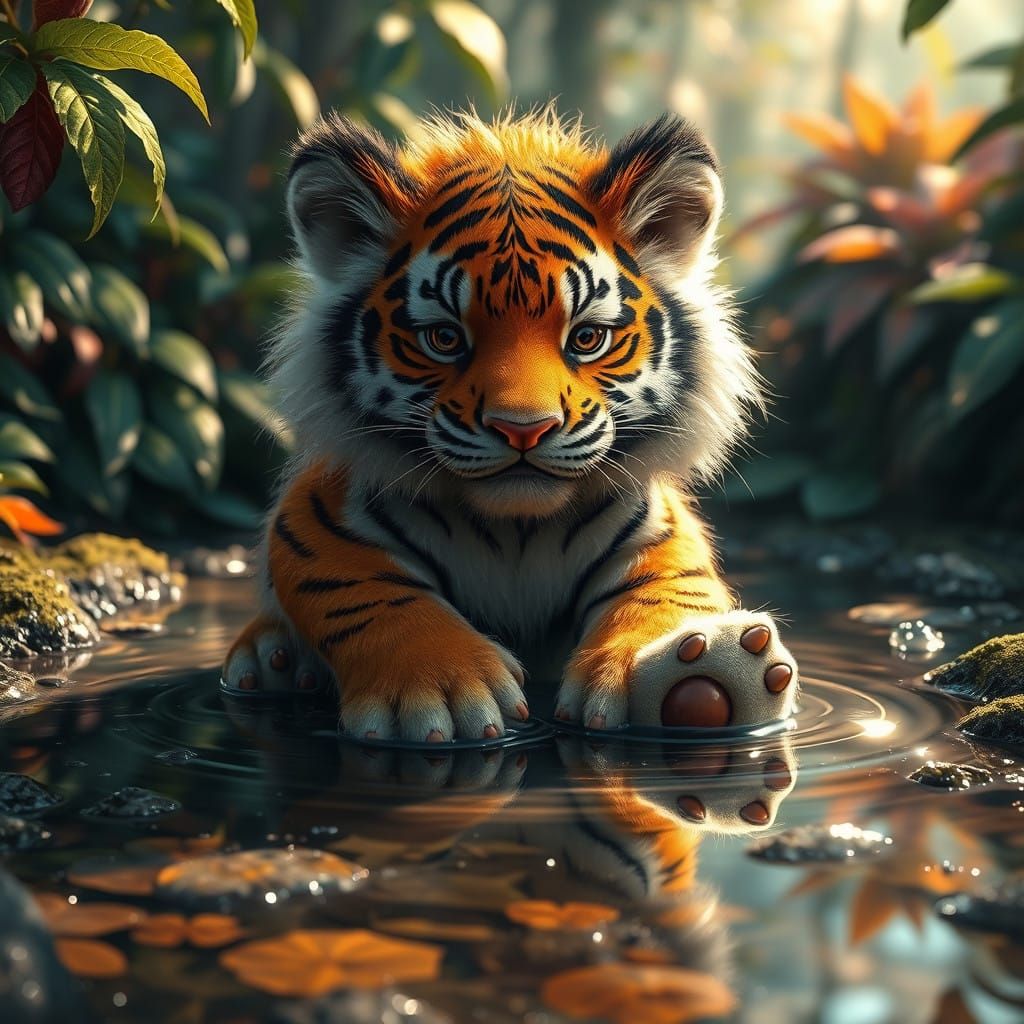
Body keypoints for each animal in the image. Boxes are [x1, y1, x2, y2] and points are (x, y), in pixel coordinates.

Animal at [221, 107, 799, 742]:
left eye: (587, 338)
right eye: (444, 338)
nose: (523, 429)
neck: (516, 531)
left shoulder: (662, 531)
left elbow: (667, 589)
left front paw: (685, 666)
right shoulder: (315, 517)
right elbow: (365, 591)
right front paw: (440, 688)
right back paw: (270, 661)